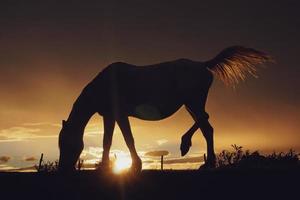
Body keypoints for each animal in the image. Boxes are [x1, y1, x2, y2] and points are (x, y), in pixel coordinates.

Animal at [57, 45, 274, 172]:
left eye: (66, 143)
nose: (63, 169)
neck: (104, 85)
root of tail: (203, 65)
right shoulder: (109, 116)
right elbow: (107, 141)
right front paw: (104, 168)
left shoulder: (120, 115)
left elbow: (128, 139)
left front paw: (135, 166)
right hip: (190, 104)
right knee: (207, 127)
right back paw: (207, 162)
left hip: (193, 101)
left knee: (204, 119)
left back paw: (187, 145)